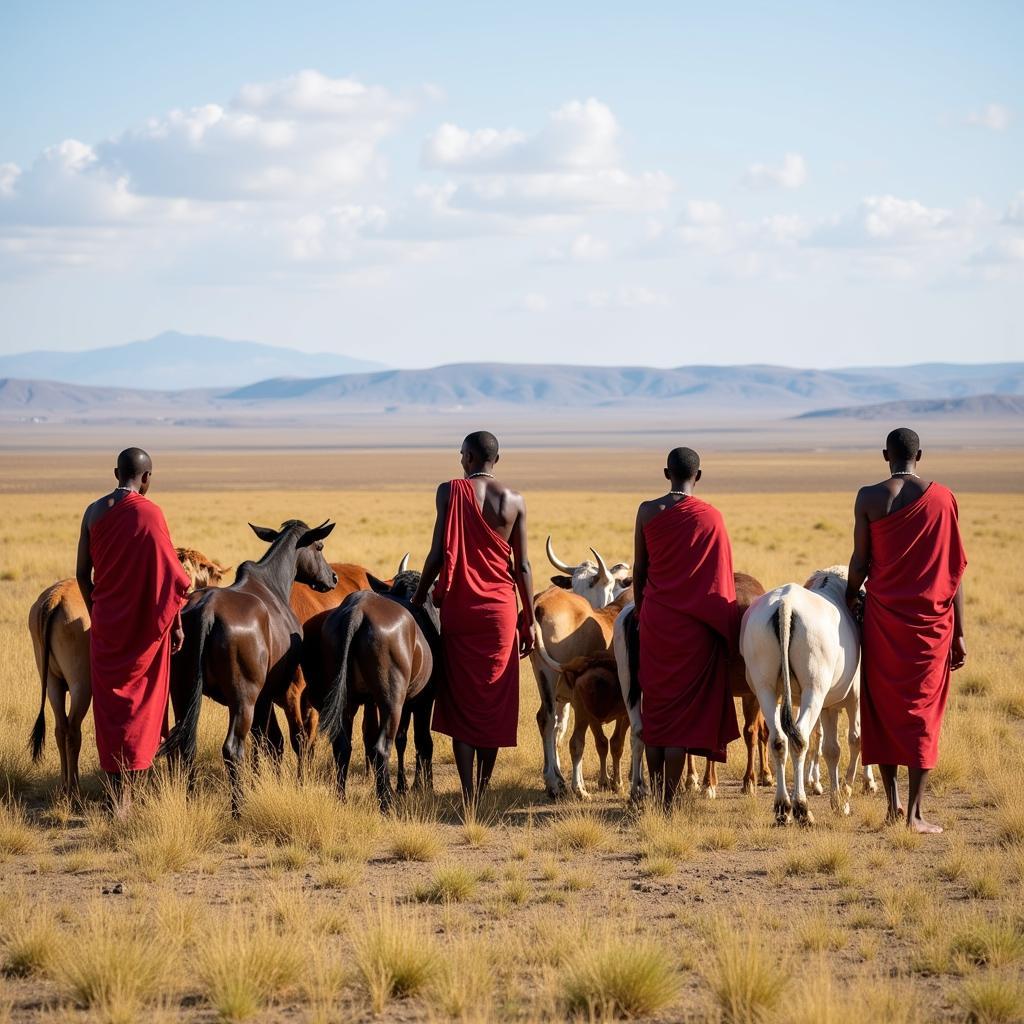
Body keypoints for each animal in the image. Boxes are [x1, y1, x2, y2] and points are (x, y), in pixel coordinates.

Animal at [27, 544, 229, 798]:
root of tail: (55, 598)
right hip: (82, 686)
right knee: (72, 730)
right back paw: (75, 790)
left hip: (53, 683)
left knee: (60, 728)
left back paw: (65, 786)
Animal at [160, 520, 335, 806]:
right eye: (319, 546)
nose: (332, 577)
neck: (270, 584)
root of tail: (206, 612)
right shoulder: (274, 692)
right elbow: (278, 741)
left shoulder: (263, 698)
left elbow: (267, 740)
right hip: (243, 700)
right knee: (233, 748)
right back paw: (237, 806)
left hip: (182, 693)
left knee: (184, 745)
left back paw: (191, 799)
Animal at [557, 655, 626, 798]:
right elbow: (615, 744)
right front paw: (616, 783)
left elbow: (607, 744)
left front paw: (608, 782)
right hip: (587, 713)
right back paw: (581, 788)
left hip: (582, 711)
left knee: (576, 743)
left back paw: (580, 789)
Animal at [741, 565, 868, 827]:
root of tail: (785, 603)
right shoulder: (853, 698)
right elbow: (855, 739)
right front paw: (845, 797)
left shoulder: (828, 706)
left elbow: (832, 749)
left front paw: (837, 799)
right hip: (813, 691)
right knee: (799, 738)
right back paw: (801, 807)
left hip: (766, 690)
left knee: (779, 740)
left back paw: (783, 807)